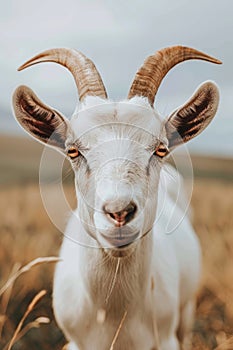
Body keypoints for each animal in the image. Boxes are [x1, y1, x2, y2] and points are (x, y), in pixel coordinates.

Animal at [12, 46, 220, 350]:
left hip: (186, 312)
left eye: (160, 149)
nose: (119, 212)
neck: (115, 315)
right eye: (73, 151)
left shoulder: (167, 338)